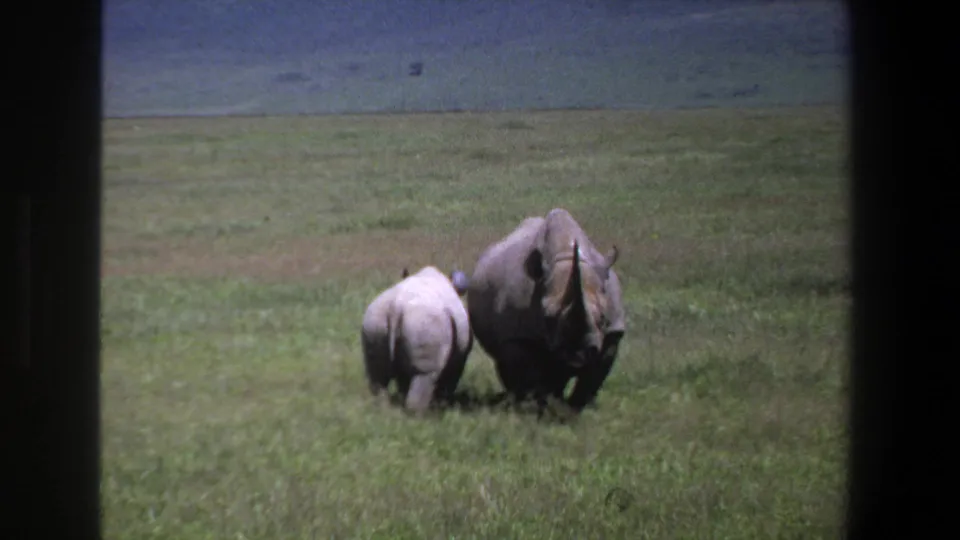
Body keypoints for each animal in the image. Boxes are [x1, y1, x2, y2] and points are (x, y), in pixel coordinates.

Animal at [361, 266, 473, 414]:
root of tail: (396, 305)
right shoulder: (460, 357)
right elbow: (451, 378)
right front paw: (443, 404)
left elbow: (403, 379)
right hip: (424, 321)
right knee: (424, 374)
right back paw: (419, 414)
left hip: (375, 320)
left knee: (378, 373)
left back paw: (380, 408)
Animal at [466, 208, 625, 413]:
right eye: (547, 318)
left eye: (603, 318)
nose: (577, 354)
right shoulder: (518, 335)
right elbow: (530, 375)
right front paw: (539, 408)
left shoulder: (613, 332)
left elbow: (592, 378)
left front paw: (575, 410)